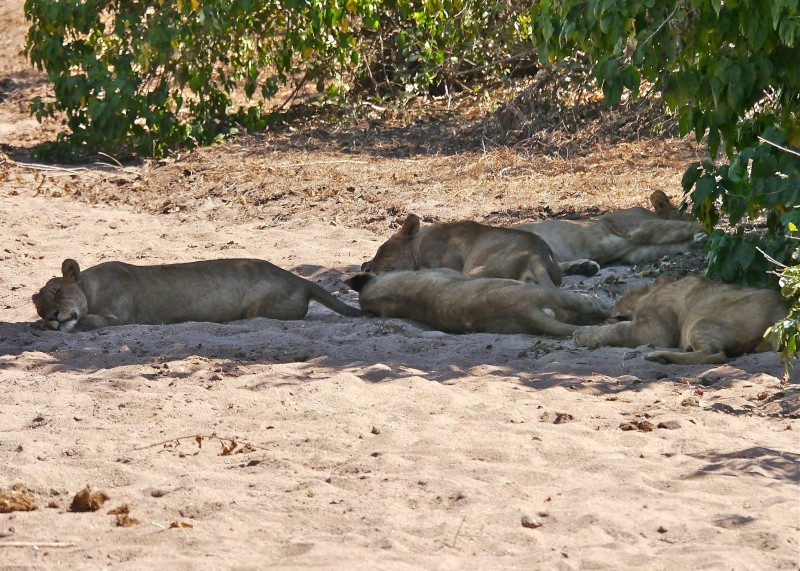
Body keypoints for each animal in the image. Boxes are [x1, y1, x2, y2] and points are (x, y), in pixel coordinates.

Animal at [512, 191, 700, 272]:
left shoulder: (635, 251)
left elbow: (670, 247)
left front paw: (699, 241)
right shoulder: (640, 226)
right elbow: (682, 226)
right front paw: (705, 230)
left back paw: (582, 267)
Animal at [572, 274, 792, 364]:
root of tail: (785, 314)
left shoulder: (657, 330)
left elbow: (618, 328)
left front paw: (582, 333)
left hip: (702, 322)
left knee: (715, 355)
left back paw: (659, 356)